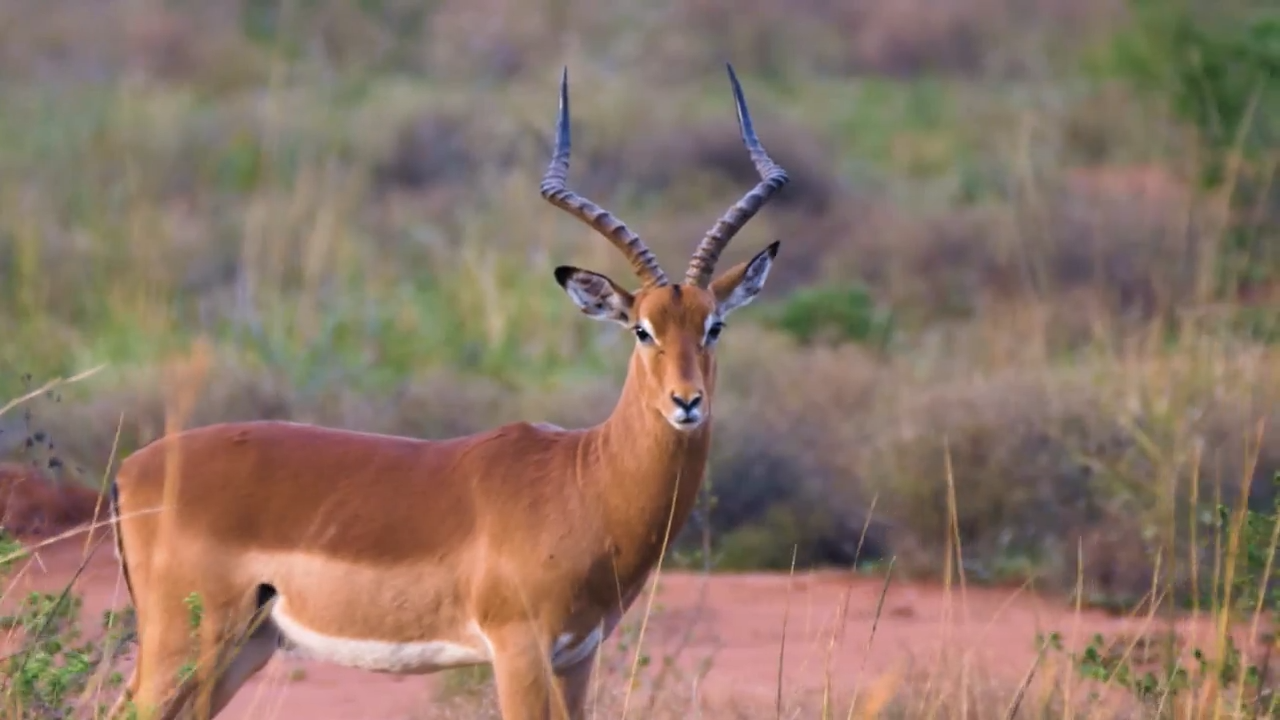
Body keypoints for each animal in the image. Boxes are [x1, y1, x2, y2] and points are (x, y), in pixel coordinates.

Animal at [107, 64, 789, 720]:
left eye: (714, 325)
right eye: (642, 329)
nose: (686, 403)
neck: (583, 480)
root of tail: (131, 470)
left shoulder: (577, 657)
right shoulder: (518, 649)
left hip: (242, 649)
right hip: (185, 643)